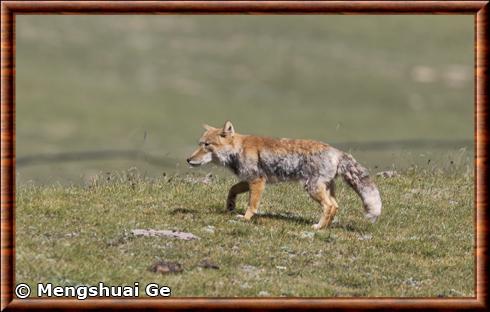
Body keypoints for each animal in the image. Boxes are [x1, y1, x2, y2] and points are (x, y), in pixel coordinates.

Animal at [186, 121, 380, 229]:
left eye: (207, 145)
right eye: (200, 143)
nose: (188, 159)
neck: (239, 149)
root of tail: (337, 151)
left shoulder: (257, 181)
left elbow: (252, 205)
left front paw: (246, 218)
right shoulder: (249, 179)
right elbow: (232, 190)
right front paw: (230, 206)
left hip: (312, 188)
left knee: (329, 206)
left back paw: (318, 227)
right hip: (324, 188)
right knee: (336, 206)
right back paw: (325, 227)